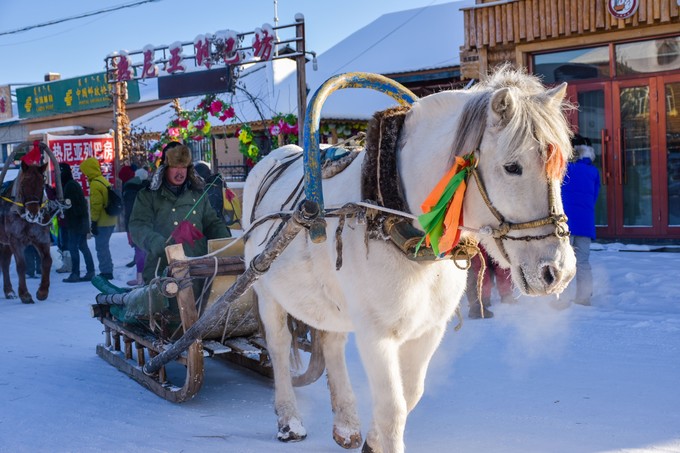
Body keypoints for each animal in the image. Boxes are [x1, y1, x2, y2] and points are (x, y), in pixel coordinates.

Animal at [242, 67, 576, 452]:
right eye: (512, 167)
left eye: (560, 167)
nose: (558, 272)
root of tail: (273, 158)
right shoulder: (376, 334)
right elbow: (393, 407)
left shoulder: (430, 328)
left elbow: (411, 393)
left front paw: (370, 441)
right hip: (266, 290)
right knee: (279, 347)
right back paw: (289, 419)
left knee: (332, 342)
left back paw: (346, 424)